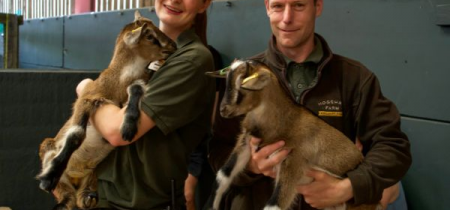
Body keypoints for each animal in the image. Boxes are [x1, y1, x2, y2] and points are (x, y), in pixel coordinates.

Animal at [37, 11, 178, 210]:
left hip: (90, 178)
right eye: (150, 36)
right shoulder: (86, 99)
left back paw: (88, 197)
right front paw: (49, 178)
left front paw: (128, 127)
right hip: (48, 149)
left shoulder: (134, 84)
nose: (174, 45)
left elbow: (136, 88)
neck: (116, 82)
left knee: (79, 200)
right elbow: (76, 134)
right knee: (67, 197)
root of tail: (75, 177)